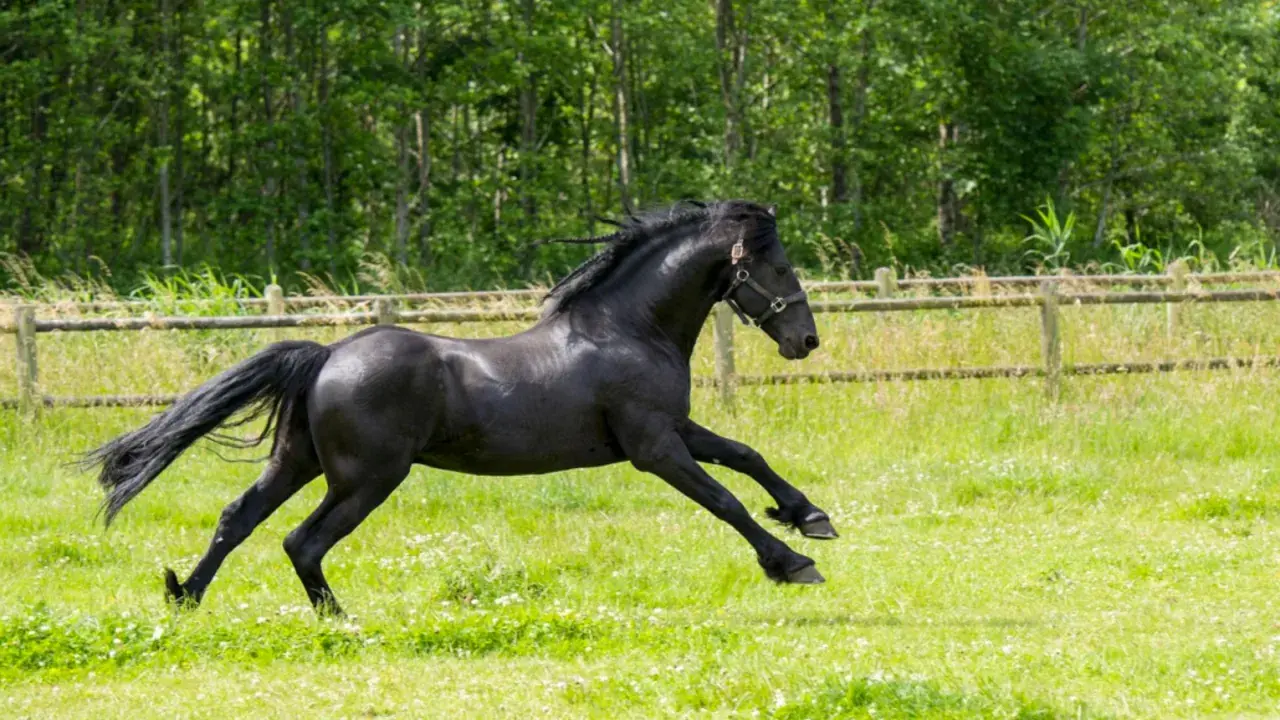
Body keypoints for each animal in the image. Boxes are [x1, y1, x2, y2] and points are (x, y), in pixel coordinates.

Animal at [82, 200, 838, 615]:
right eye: (778, 268)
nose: (806, 340)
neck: (628, 329)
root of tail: (327, 357)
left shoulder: (670, 429)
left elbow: (747, 456)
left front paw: (811, 518)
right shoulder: (654, 448)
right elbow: (724, 499)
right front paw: (790, 563)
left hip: (299, 462)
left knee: (237, 518)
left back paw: (185, 596)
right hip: (366, 478)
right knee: (303, 541)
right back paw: (342, 621)